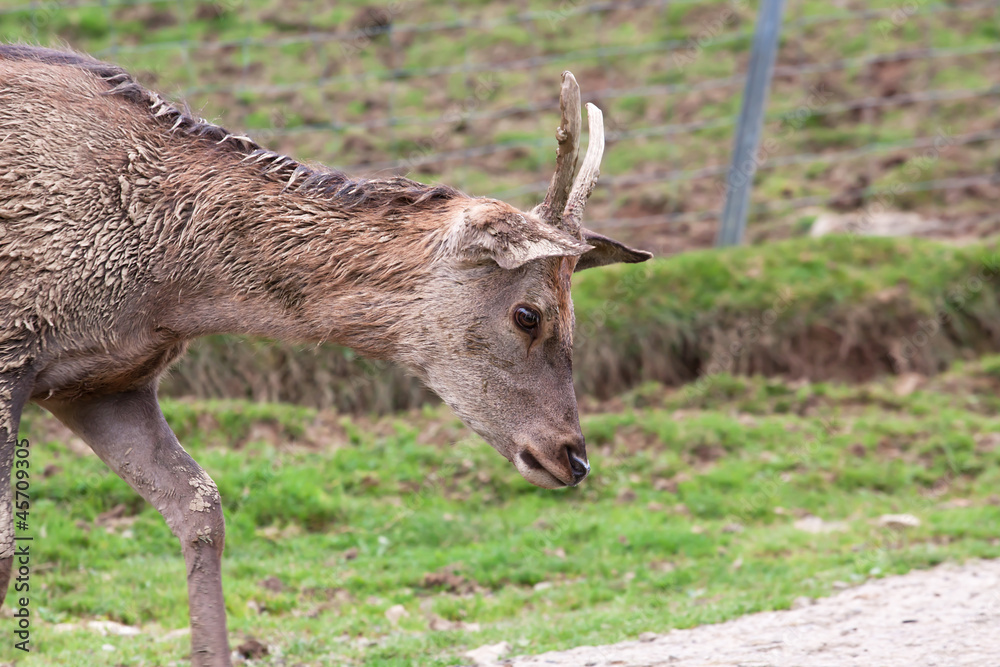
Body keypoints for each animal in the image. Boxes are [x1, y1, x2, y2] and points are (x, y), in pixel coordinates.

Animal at [0, 45, 651, 665]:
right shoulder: (14, 345)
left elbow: (200, 507)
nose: (573, 457)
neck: (164, 287)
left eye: (576, 315)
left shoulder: (103, 382)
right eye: (528, 314)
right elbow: (9, 539)